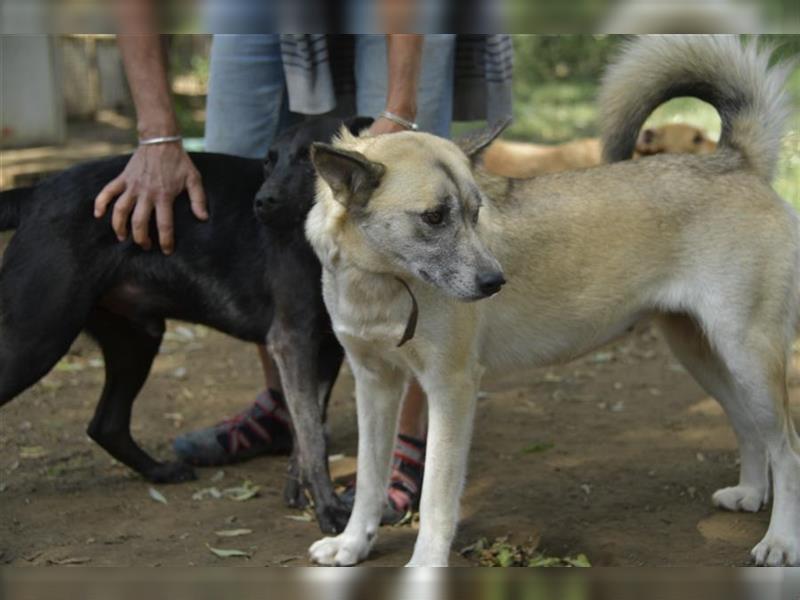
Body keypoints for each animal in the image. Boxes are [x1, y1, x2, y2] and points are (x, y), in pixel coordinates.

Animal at [306, 37, 800, 568]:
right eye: (434, 217)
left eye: (477, 213)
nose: (495, 282)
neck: (381, 281)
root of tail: (734, 160)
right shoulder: (374, 384)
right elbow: (369, 481)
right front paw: (352, 544)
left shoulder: (450, 388)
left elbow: (437, 497)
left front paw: (424, 566)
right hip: (703, 356)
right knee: (750, 427)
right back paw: (750, 493)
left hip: (747, 357)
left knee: (788, 448)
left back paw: (780, 541)